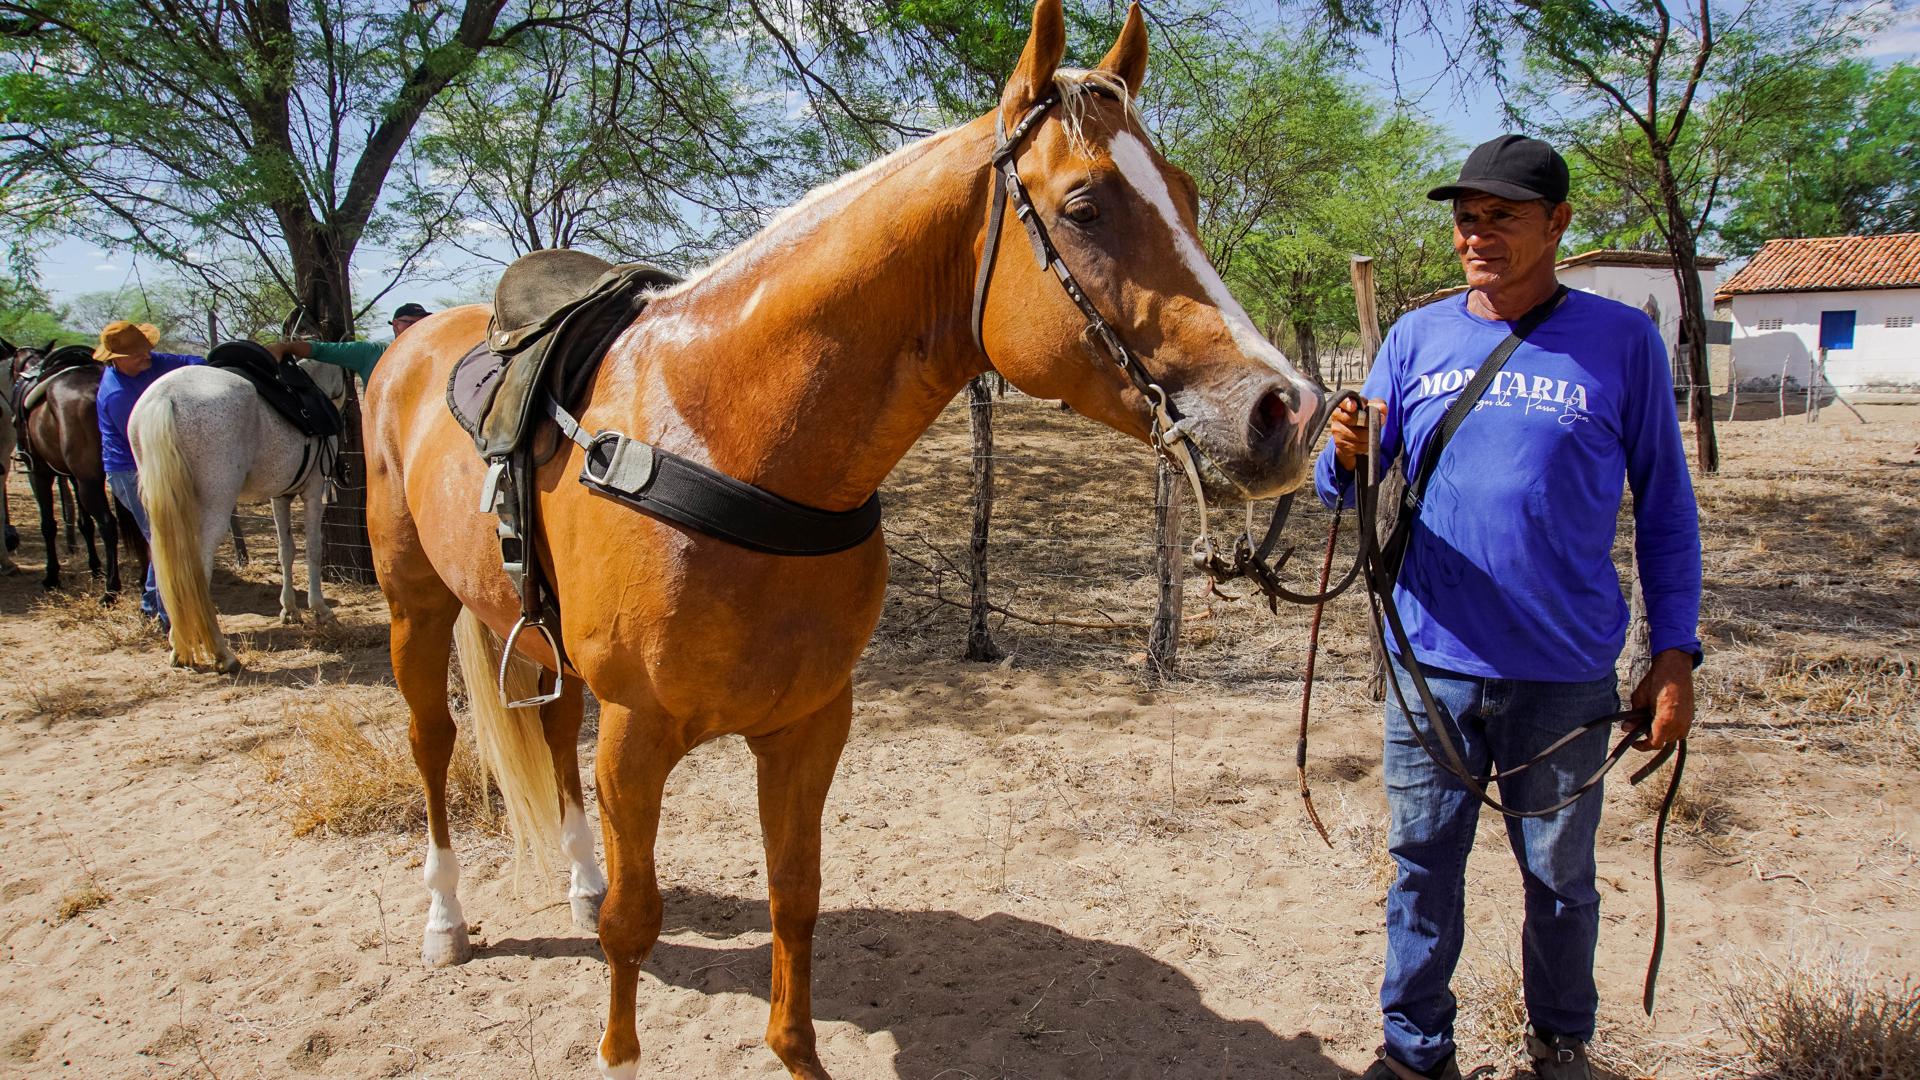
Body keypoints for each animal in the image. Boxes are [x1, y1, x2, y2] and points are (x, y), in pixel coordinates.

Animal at [128, 356, 349, 673]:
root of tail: (164, 397)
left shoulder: (280, 495)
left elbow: (286, 551)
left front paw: (289, 610)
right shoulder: (313, 491)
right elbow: (313, 551)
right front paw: (320, 610)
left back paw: (179, 647)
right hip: (215, 507)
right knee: (196, 573)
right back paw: (222, 654)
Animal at [367, 3, 1323, 1075]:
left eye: (1189, 197)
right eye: (1083, 205)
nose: (1287, 410)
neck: (730, 439)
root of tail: (410, 343)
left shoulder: (810, 725)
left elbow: (795, 899)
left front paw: (797, 1048)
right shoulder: (637, 734)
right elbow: (634, 927)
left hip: (541, 640)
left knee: (550, 732)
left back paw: (576, 879)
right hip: (414, 610)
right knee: (433, 746)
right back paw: (445, 921)